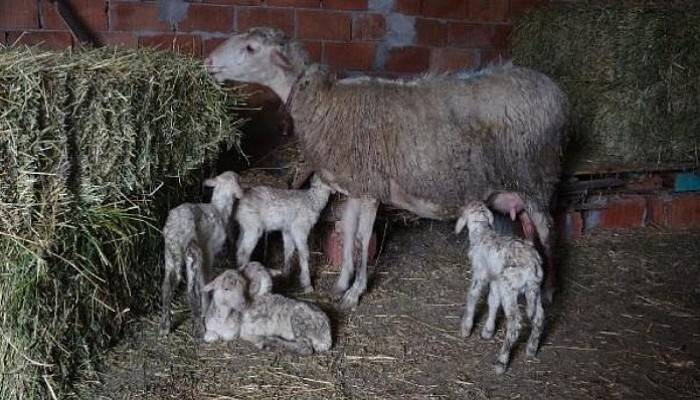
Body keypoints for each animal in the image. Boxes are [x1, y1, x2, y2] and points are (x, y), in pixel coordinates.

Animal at [160, 170, 245, 340]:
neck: (220, 210)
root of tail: (176, 229)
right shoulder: (209, 252)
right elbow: (205, 281)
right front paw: (207, 308)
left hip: (170, 253)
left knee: (167, 286)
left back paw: (165, 326)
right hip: (192, 253)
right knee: (192, 291)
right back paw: (199, 328)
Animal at [202, 268, 334, 354]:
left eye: (244, 287)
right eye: (226, 289)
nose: (243, 304)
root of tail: (327, 334)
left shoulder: (240, 331)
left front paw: (261, 341)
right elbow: (210, 336)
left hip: (299, 321)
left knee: (305, 347)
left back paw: (273, 340)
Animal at [205, 28, 568, 308]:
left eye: (251, 48)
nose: (207, 63)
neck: (325, 104)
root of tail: (554, 91)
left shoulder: (370, 188)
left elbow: (363, 238)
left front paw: (355, 293)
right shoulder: (354, 186)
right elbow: (349, 232)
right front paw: (341, 283)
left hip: (538, 180)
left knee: (549, 233)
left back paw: (549, 291)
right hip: (522, 189)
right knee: (531, 231)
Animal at [454, 202, 548, 374]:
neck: (482, 232)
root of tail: (532, 265)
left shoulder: (480, 273)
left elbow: (473, 296)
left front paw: (466, 328)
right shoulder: (495, 279)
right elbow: (493, 301)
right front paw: (488, 331)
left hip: (509, 289)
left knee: (515, 323)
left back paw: (501, 361)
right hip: (534, 289)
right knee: (538, 317)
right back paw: (531, 349)